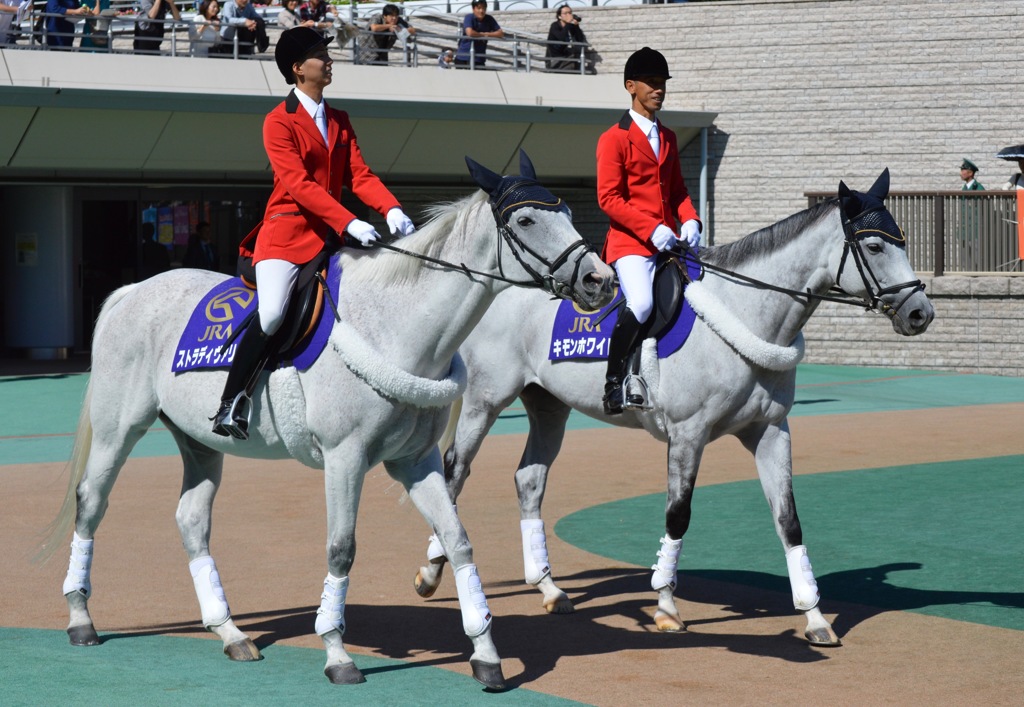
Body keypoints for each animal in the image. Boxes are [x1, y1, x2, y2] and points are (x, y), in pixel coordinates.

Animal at [39, 151, 610, 684]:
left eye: (564, 211)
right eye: (526, 220)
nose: (599, 280)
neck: (395, 325)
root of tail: (132, 290)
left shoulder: (415, 461)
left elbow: (458, 540)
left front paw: (486, 655)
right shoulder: (345, 458)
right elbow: (341, 549)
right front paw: (337, 653)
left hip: (200, 441)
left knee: (191, 519)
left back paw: (229, 632)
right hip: (118, 430)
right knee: (91, 503)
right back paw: (80, 617)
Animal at [413, 169, 937, 643]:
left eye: (902, 240)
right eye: (875, 247)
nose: (920, 313)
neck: (745, 312)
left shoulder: (771, 431)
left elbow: (788, 520)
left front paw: (814, 617)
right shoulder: (689, 434)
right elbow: (677, 513)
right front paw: (665, 605)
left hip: (549, 406)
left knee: (529, 479)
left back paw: (549, 589)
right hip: (486, 400)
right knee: (455, 472)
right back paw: (433, 570)